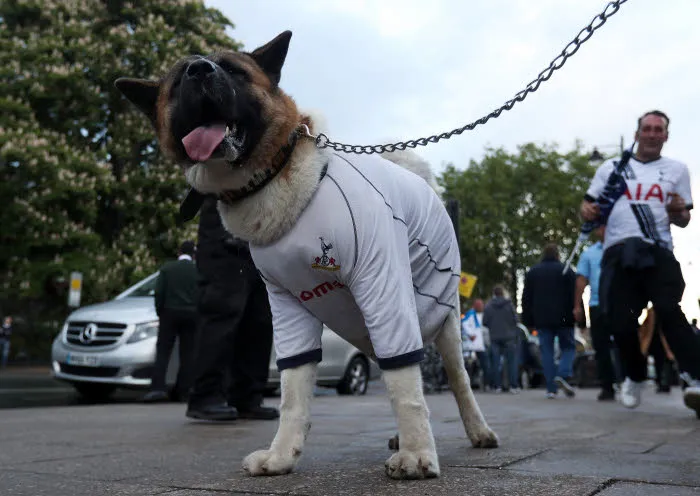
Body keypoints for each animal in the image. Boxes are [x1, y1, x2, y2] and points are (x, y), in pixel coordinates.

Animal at [115, 31, 498, 480]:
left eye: (233, 70)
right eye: (178, 82)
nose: (199, 71)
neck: (271, 176)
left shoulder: (383, 287)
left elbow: (406, 387)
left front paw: (418, 453)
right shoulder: (287, 306)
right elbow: (294, 394)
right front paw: (282, 455)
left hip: (438, 318)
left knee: (454, 380)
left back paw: (475, 430)